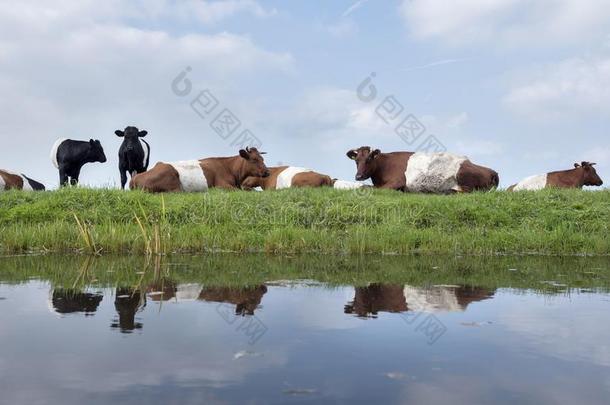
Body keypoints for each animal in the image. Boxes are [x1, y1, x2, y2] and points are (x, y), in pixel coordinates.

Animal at [130, 147, 268, 193]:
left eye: (262, 158)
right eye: (254, 159)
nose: (267, 172)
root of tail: (135, 178)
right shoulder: (221, 185)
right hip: (172, 179)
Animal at [344, 146, 496, 193]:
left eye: (369, 159)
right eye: (356, 161)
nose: (358, 176)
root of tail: (492, 171)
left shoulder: (398, 181)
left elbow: (366, 187)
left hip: (463, 176)